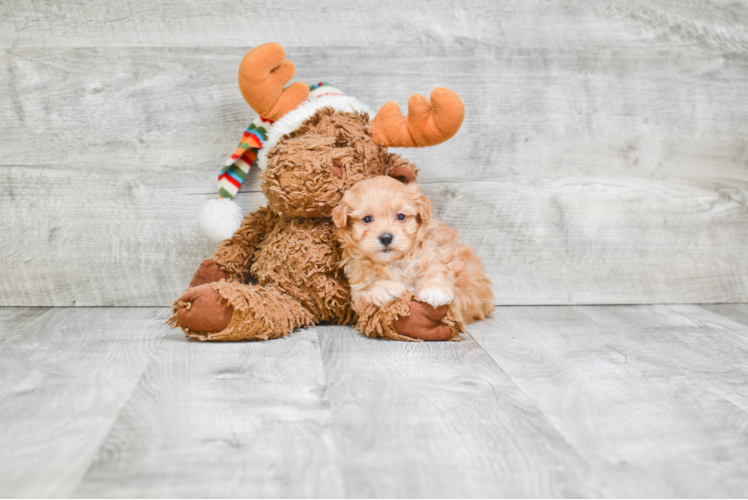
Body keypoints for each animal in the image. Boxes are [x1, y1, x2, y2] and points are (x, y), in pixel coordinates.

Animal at [332, 176, 494, 324]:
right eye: (367, 219)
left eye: (400, 216)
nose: (386, 238)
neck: (393, 262)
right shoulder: (358, 287)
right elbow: (369, 287)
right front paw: (385, 287)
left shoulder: (430, 255)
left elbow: (436, 271)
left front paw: (435, 291)